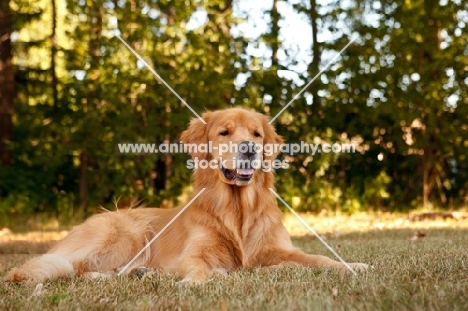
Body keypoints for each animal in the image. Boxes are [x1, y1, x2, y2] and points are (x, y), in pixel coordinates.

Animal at [4, 108, 370, 286]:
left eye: (256, 134)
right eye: (224, 132)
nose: (249, 149)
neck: (236, 209)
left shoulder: (277, 250)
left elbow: (319, 259)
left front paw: (353, 265)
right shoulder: (196, 253)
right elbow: (196, 269)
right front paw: (194, 282)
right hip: (126, 231)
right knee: (68, 268)